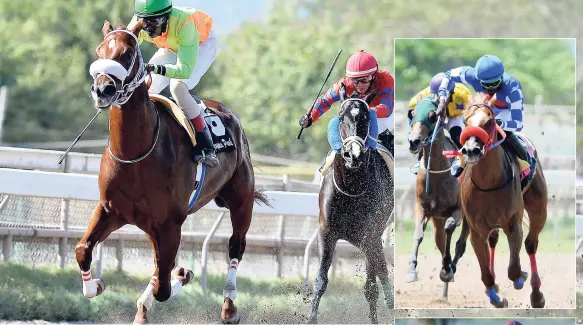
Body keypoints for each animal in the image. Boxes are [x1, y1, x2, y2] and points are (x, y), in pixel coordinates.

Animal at [74, 21, 270, 322]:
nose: (102, 89)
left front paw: (184, 274)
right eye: (99, 51)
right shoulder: (112, 211)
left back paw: (229, 306)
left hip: (240, 200)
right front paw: (95, 285)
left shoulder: (170, 223)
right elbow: (82, 250)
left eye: (128, 54)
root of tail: (227, 112)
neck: (136, 154)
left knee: (236, 246)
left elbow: (164, 288)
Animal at [406, 97, 470, 298]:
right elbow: (418, 234)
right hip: (437, 220)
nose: (413, 141)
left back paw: (449, 271)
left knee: (460, 244)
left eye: (432, 116)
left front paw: (447, 269)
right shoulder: (422, 207)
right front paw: (412, 270)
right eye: (412, 114)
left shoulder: (458, 210)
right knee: (440, 239)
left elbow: (451, 229)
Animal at [458, 93, 548, 306]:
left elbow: (514, 269)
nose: (471, 150)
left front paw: (521, 278)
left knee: (531, 244)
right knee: (493, 241)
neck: (488, 184)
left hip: (540, 209)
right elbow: (486, 275)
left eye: (489, 122)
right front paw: (496, 297)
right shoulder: (477, 231)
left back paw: (536, 295)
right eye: (465, 121)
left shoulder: (513, 223)